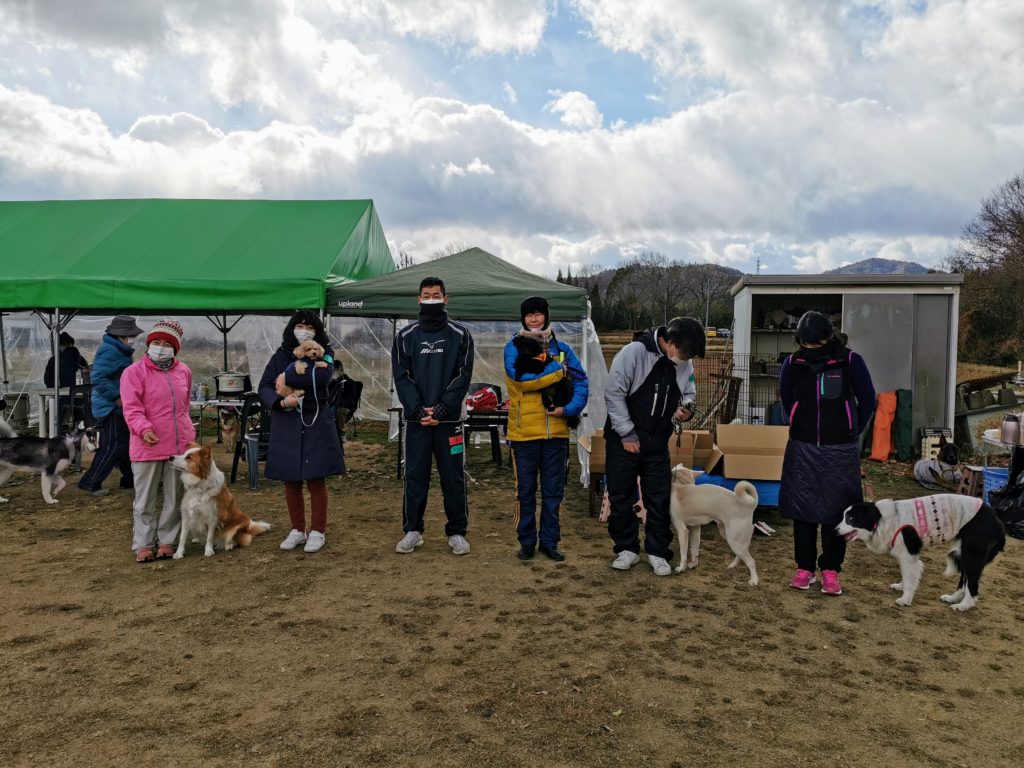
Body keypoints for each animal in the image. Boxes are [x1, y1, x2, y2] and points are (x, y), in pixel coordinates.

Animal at [837, 494, 1005, 611]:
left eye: (850, 518)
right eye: (844, 517)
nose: (835, 530)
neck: (882, 520)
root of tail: (998, 522)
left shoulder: (908, 556)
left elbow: (910, 577)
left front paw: (905, 599)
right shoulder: (904, 556)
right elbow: (905, 575)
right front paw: (900, 586)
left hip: (971, 557)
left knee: (973, 586)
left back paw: (963, 606)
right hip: (963, 555)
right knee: (964, 582)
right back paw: (952, 599)